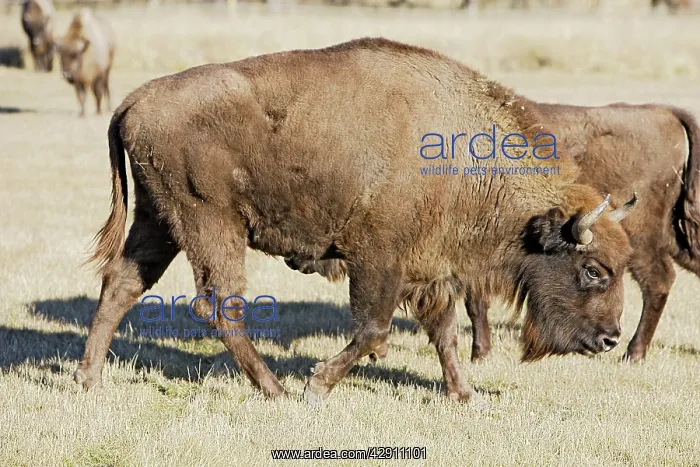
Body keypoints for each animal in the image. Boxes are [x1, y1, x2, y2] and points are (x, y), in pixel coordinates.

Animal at [76, 38, 636, 405]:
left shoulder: (428, 270)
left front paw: (465, 395)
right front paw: (315, 385)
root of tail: (133, 102)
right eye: (593, 270)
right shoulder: (377, 260)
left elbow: (443, 334)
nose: (611, 338)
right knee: (219, 304)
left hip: (158, 221)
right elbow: (373, 328)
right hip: (211, 226)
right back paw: (277, 392)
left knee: (122, 284)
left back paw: (90, 380)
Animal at [292, 101, 700, 363]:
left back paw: (633, 354)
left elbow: (474, 302)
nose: (297, 259)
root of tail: (664, 114)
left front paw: (480, 353)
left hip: (644, 242)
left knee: (658, 283)